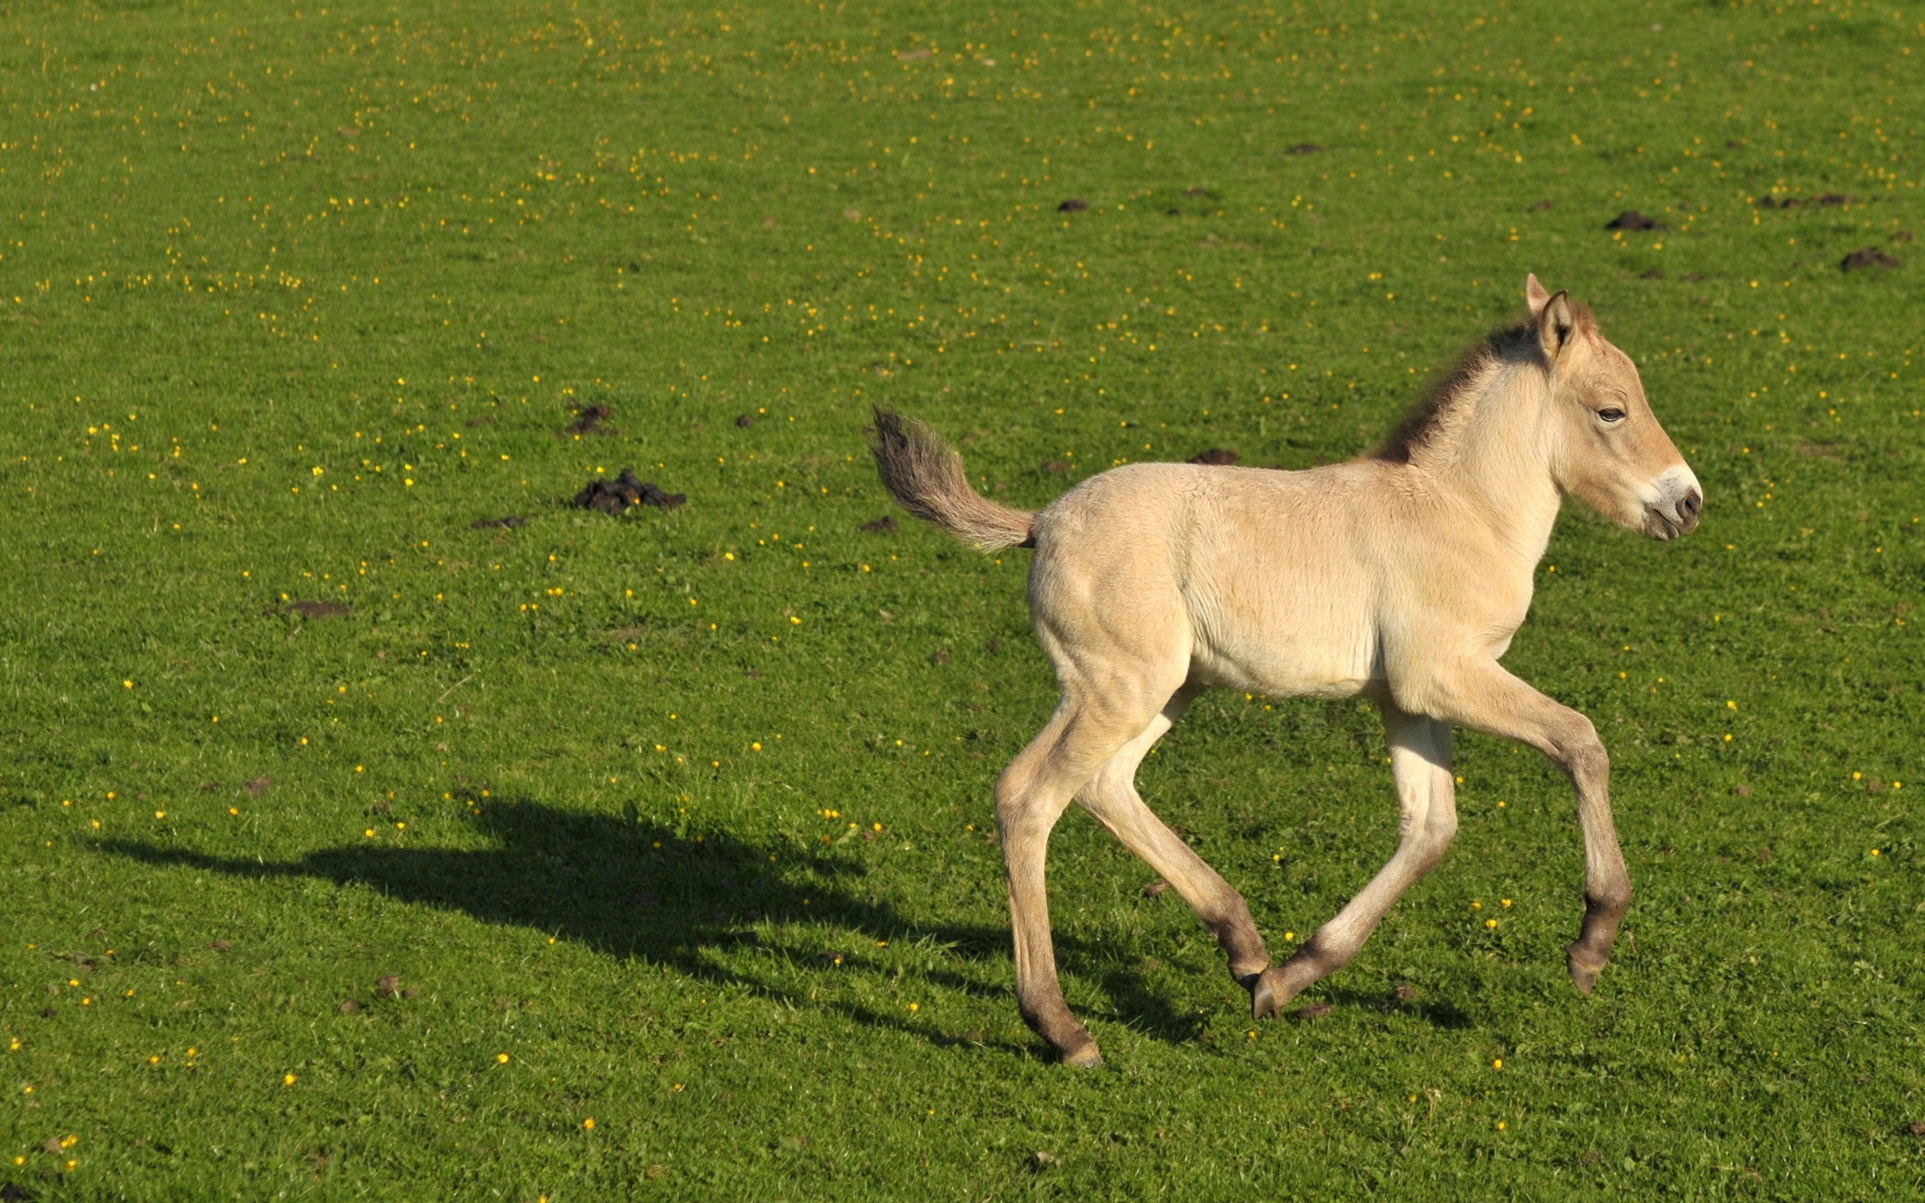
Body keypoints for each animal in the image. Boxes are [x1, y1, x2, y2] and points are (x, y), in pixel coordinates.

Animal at [870, 275, 1701, 1062]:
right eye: (1611, 411)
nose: (1687, 503)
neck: (1461, 512)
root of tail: (1040, 523)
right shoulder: (1444, 676)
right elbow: (1579, 741)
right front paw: (1592, 941)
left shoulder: (1407, 699)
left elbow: (1429, 828)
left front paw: (1290, 976)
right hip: (1116, 688)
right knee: (1030, 798)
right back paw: (1063, 1028)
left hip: (1162, 689)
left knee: (1103, 785)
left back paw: (1242, 947)